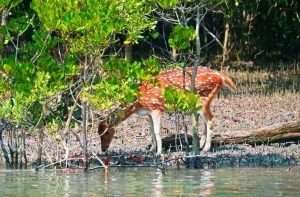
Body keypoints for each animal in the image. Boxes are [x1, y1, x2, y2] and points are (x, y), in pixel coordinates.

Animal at [98, 67, 237, 155]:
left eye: (106, 132)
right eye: (99, 133)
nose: (103, 149)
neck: (138, 103)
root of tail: (220, 76)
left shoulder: (156, 107)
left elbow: (157, 131)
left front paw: (159, 152)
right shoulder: (148, 113)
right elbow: (151, 131)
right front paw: (151, 150)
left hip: (203, 97)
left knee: (210, 118)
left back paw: (206, 148)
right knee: (205, 119)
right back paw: (200, 145)